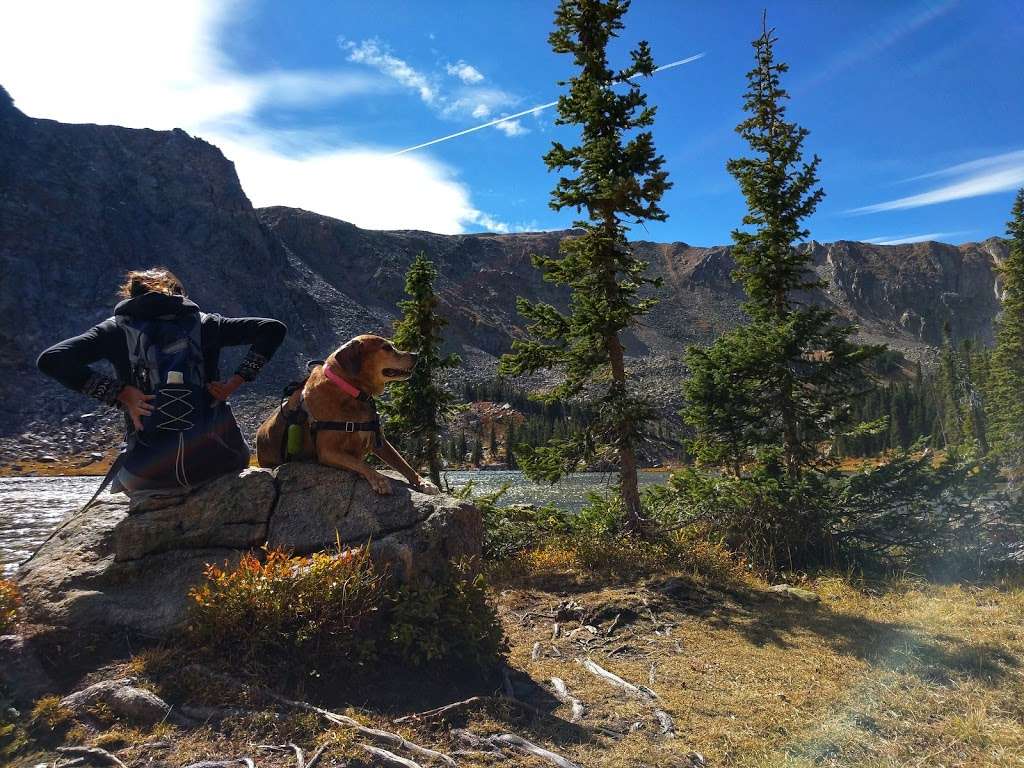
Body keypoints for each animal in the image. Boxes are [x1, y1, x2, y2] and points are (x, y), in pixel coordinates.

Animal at [256, 333, 440, 495]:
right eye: (386, 348)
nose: (416, 355)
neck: (352, 392)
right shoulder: (328, 451)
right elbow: (361, 464)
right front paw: (379, 480)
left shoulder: (379, 440)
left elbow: (403, 463)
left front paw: (424, 483)